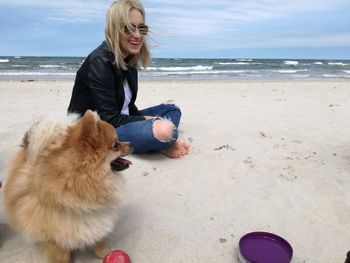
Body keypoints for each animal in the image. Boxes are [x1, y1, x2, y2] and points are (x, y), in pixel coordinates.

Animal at [3, 110, 133, 262]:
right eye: (116, 145)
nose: (131, 143)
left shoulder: (96, 219)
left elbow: (99, 238)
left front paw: (103, 252)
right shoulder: (54, 235)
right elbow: (61, 255)